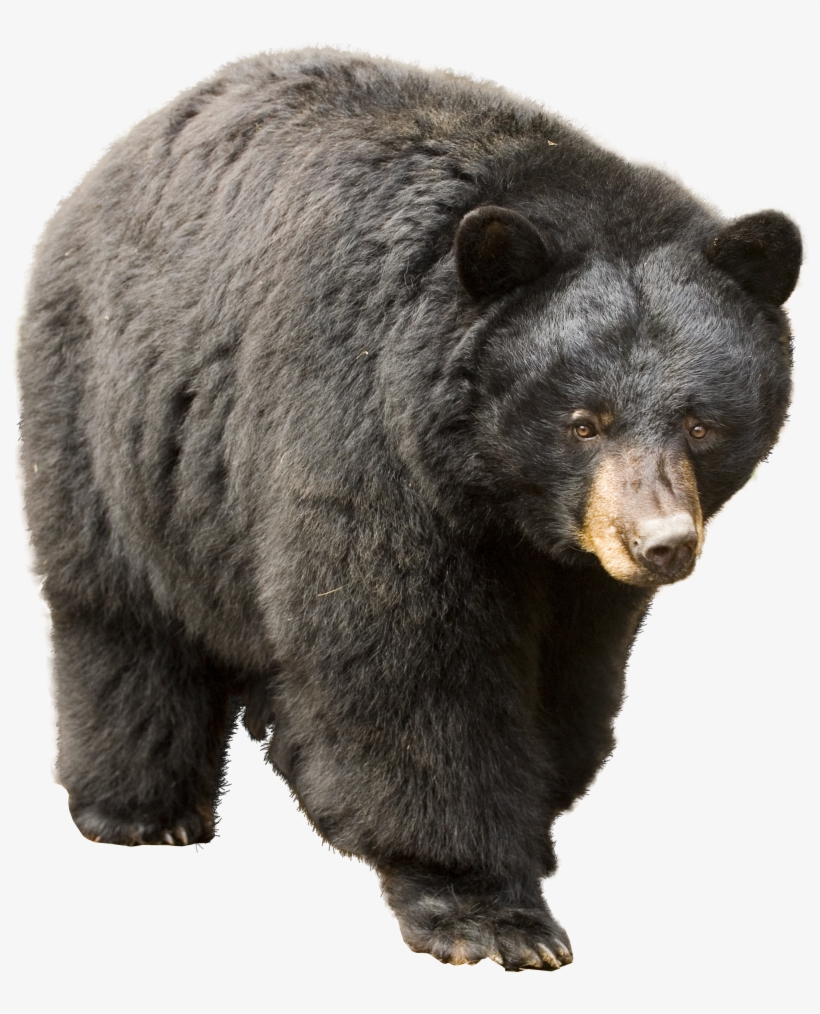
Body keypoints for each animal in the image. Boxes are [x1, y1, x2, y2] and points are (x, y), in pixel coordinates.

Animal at [18, 49, 801, 971]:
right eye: (584, 421)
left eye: (701, 423)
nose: (661, 544)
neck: (493, 492)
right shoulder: (366, 435)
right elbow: (408, 665)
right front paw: (485, 909)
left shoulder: (576, 572)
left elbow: (569, 675)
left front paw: (531, 833)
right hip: (109, 418)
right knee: (122, 614)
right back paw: (142, 810)